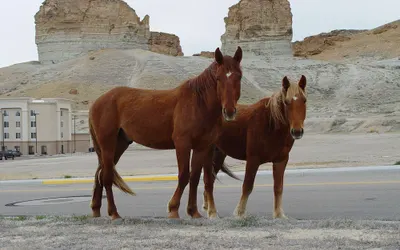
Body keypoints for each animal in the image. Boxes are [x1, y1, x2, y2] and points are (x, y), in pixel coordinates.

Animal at [88, 46, 242, 221]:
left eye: (239, 76)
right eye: (218, 78)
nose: (229, 111)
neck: (198, 103)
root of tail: (98, 102)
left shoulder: (202, 147)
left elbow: (195, 177)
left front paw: (193, 211)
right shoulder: (182, 144)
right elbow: (184, 176)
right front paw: (173, 209)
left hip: (119, 145)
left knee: (99, 175)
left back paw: (96, 210)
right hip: (108, 145)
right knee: (106, 177)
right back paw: (114, 213)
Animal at [202, 74, 308, 219]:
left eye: (304, 100)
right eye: (286, 102)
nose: (297, 131)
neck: (271, 124)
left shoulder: (281, 161)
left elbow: (278, 187)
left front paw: (279, 214)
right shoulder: (253, 159)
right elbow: (247, 186)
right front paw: (239, 213)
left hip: (219, 154)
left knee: (210, 180)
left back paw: (207, 207)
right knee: (208, 181)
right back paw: (212, 212)